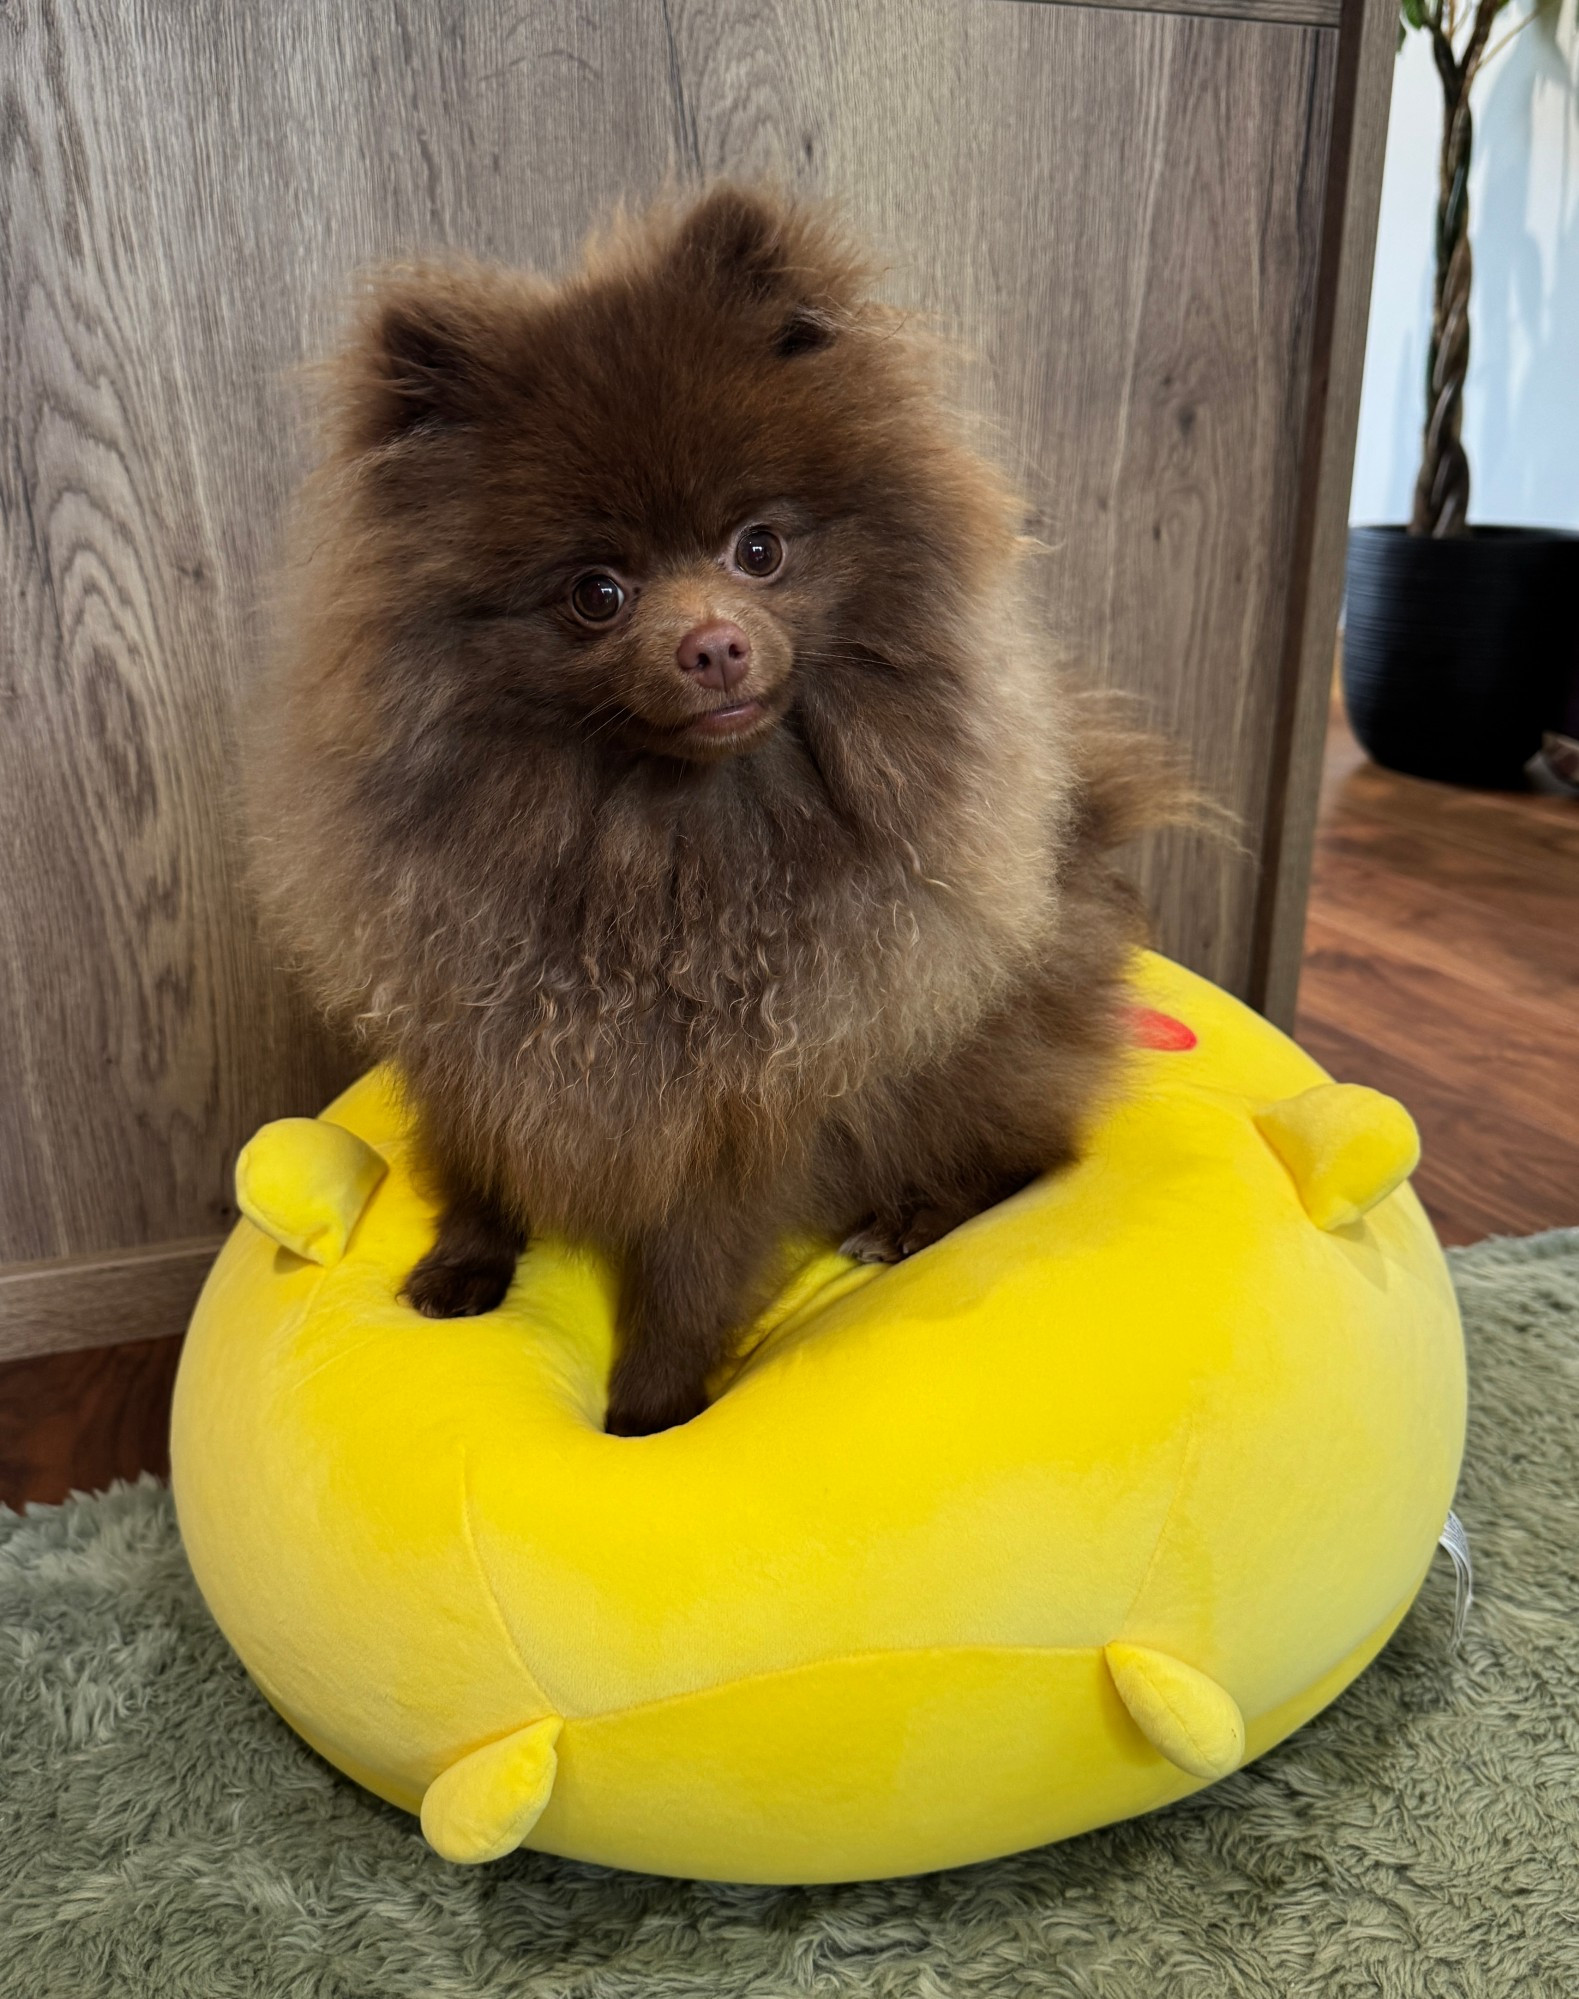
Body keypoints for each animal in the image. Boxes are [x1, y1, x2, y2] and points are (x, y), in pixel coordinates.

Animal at [247, 183, 1183, 1439]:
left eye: (760, 548)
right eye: (596, 593)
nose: (713, 642)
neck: (660, 842)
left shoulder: (739, 1102)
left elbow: (687, 1275)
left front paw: (647, 1419)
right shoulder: (479, 1017)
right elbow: (478, 1162)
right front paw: (463, 1266)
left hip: (971, 1060)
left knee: (1035, 1154)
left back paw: (908, 1220)